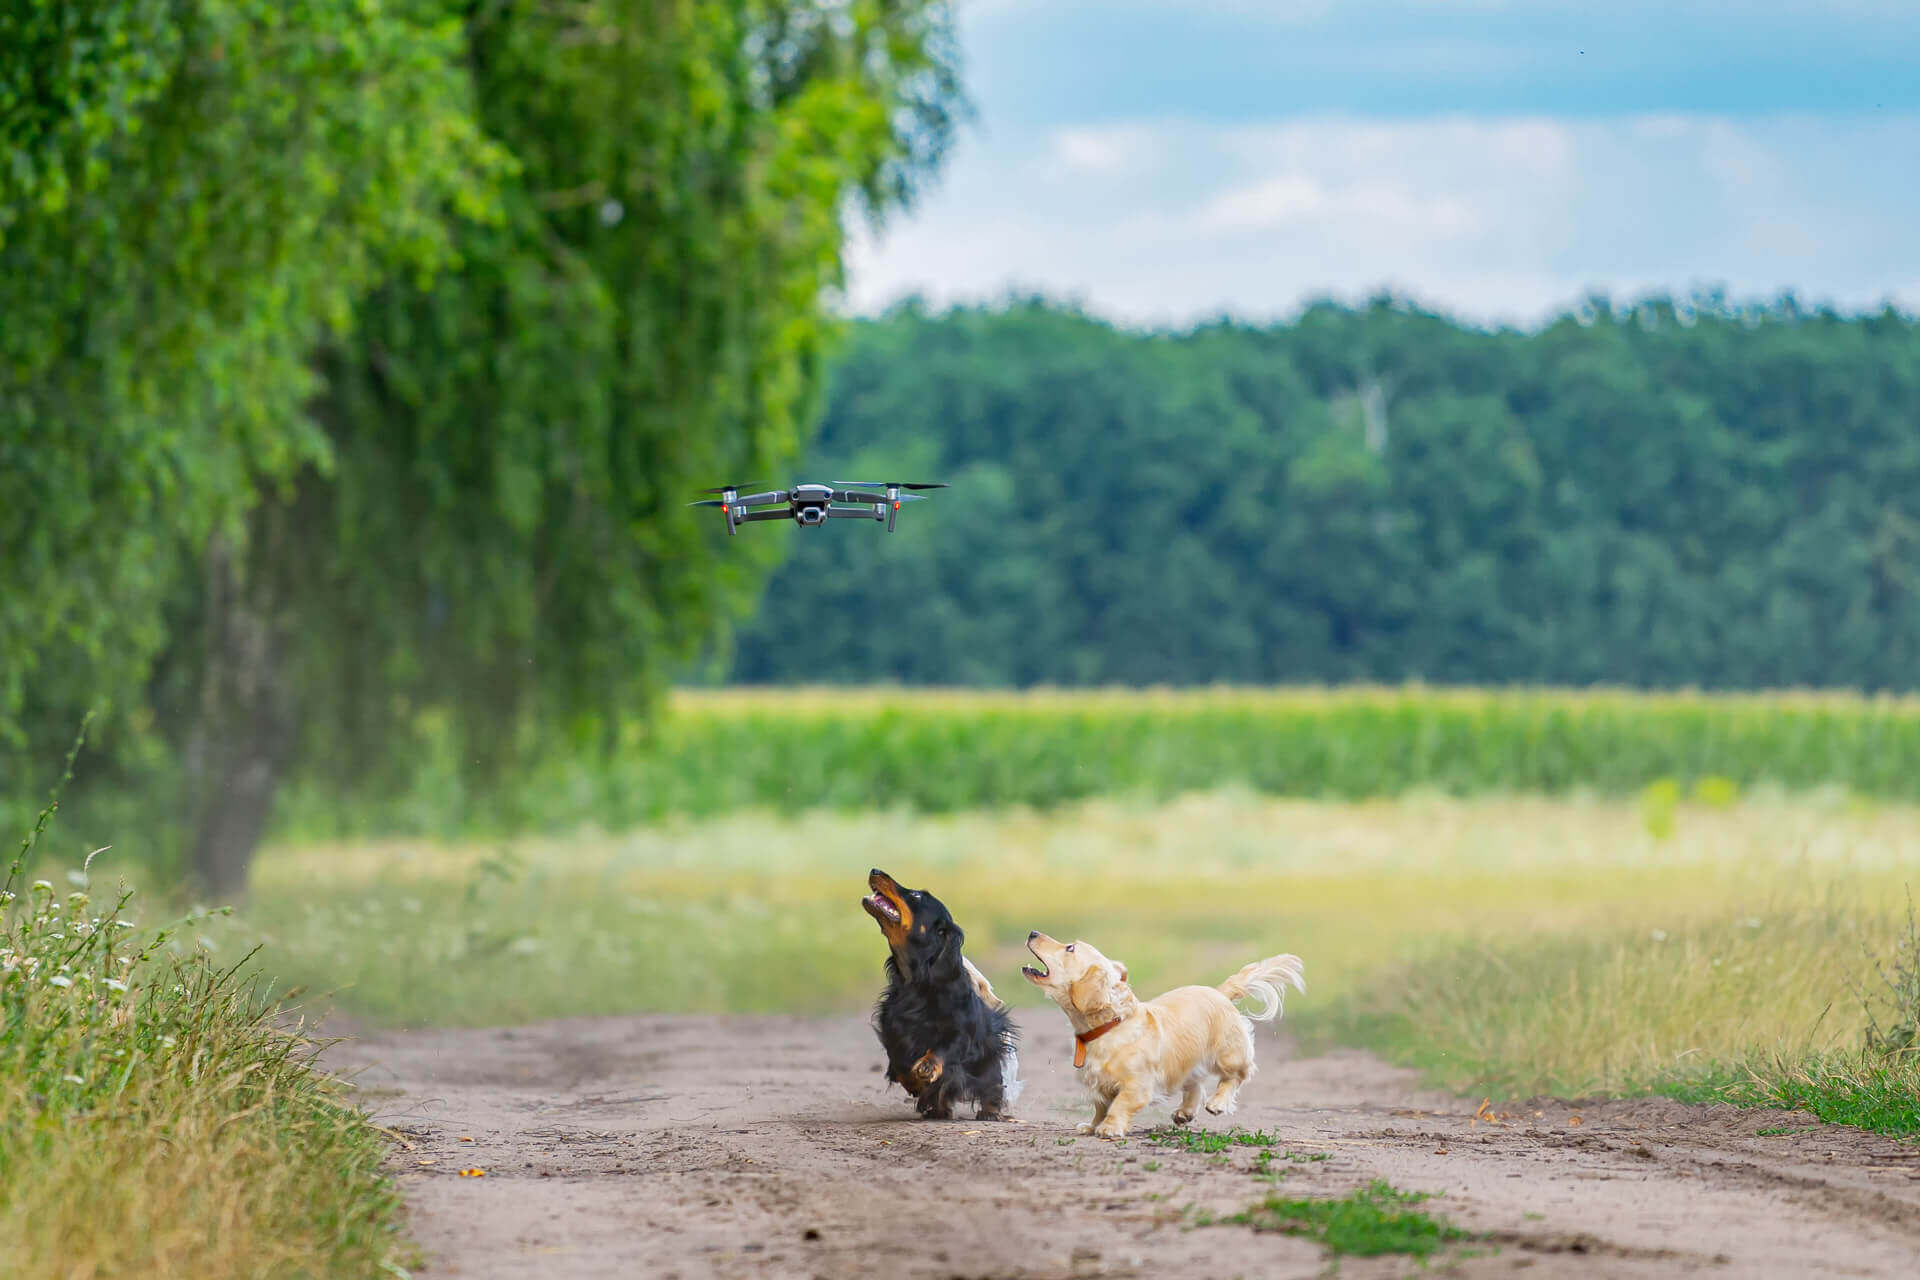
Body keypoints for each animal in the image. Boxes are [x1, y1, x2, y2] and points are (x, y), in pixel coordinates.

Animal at [867, 871, 1021, 1120]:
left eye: (916, 895)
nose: (874, 871)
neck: (918, 983)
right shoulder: (895, 1034)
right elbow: (902, 1067)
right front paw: (917, 1082)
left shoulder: (959, 1032)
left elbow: (942, 1051)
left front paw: (927, 1067)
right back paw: (938, 1109)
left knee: (992, 1084)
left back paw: (989, 1111)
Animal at [1021, 932, 1305, 1143]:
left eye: (1070, 948)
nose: (1032, 932)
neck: (1111, 1026)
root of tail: (1219, 992)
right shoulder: (1099, 1087)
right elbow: (1100, 1108)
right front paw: (1091, 1126)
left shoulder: (1136, 1086)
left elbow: (1119, 1105)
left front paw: (1109, 1128)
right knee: (1195, 1085)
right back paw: (1184, 1113)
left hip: (1229, 1055)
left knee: (1236, 1076)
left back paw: (1218, 1103)